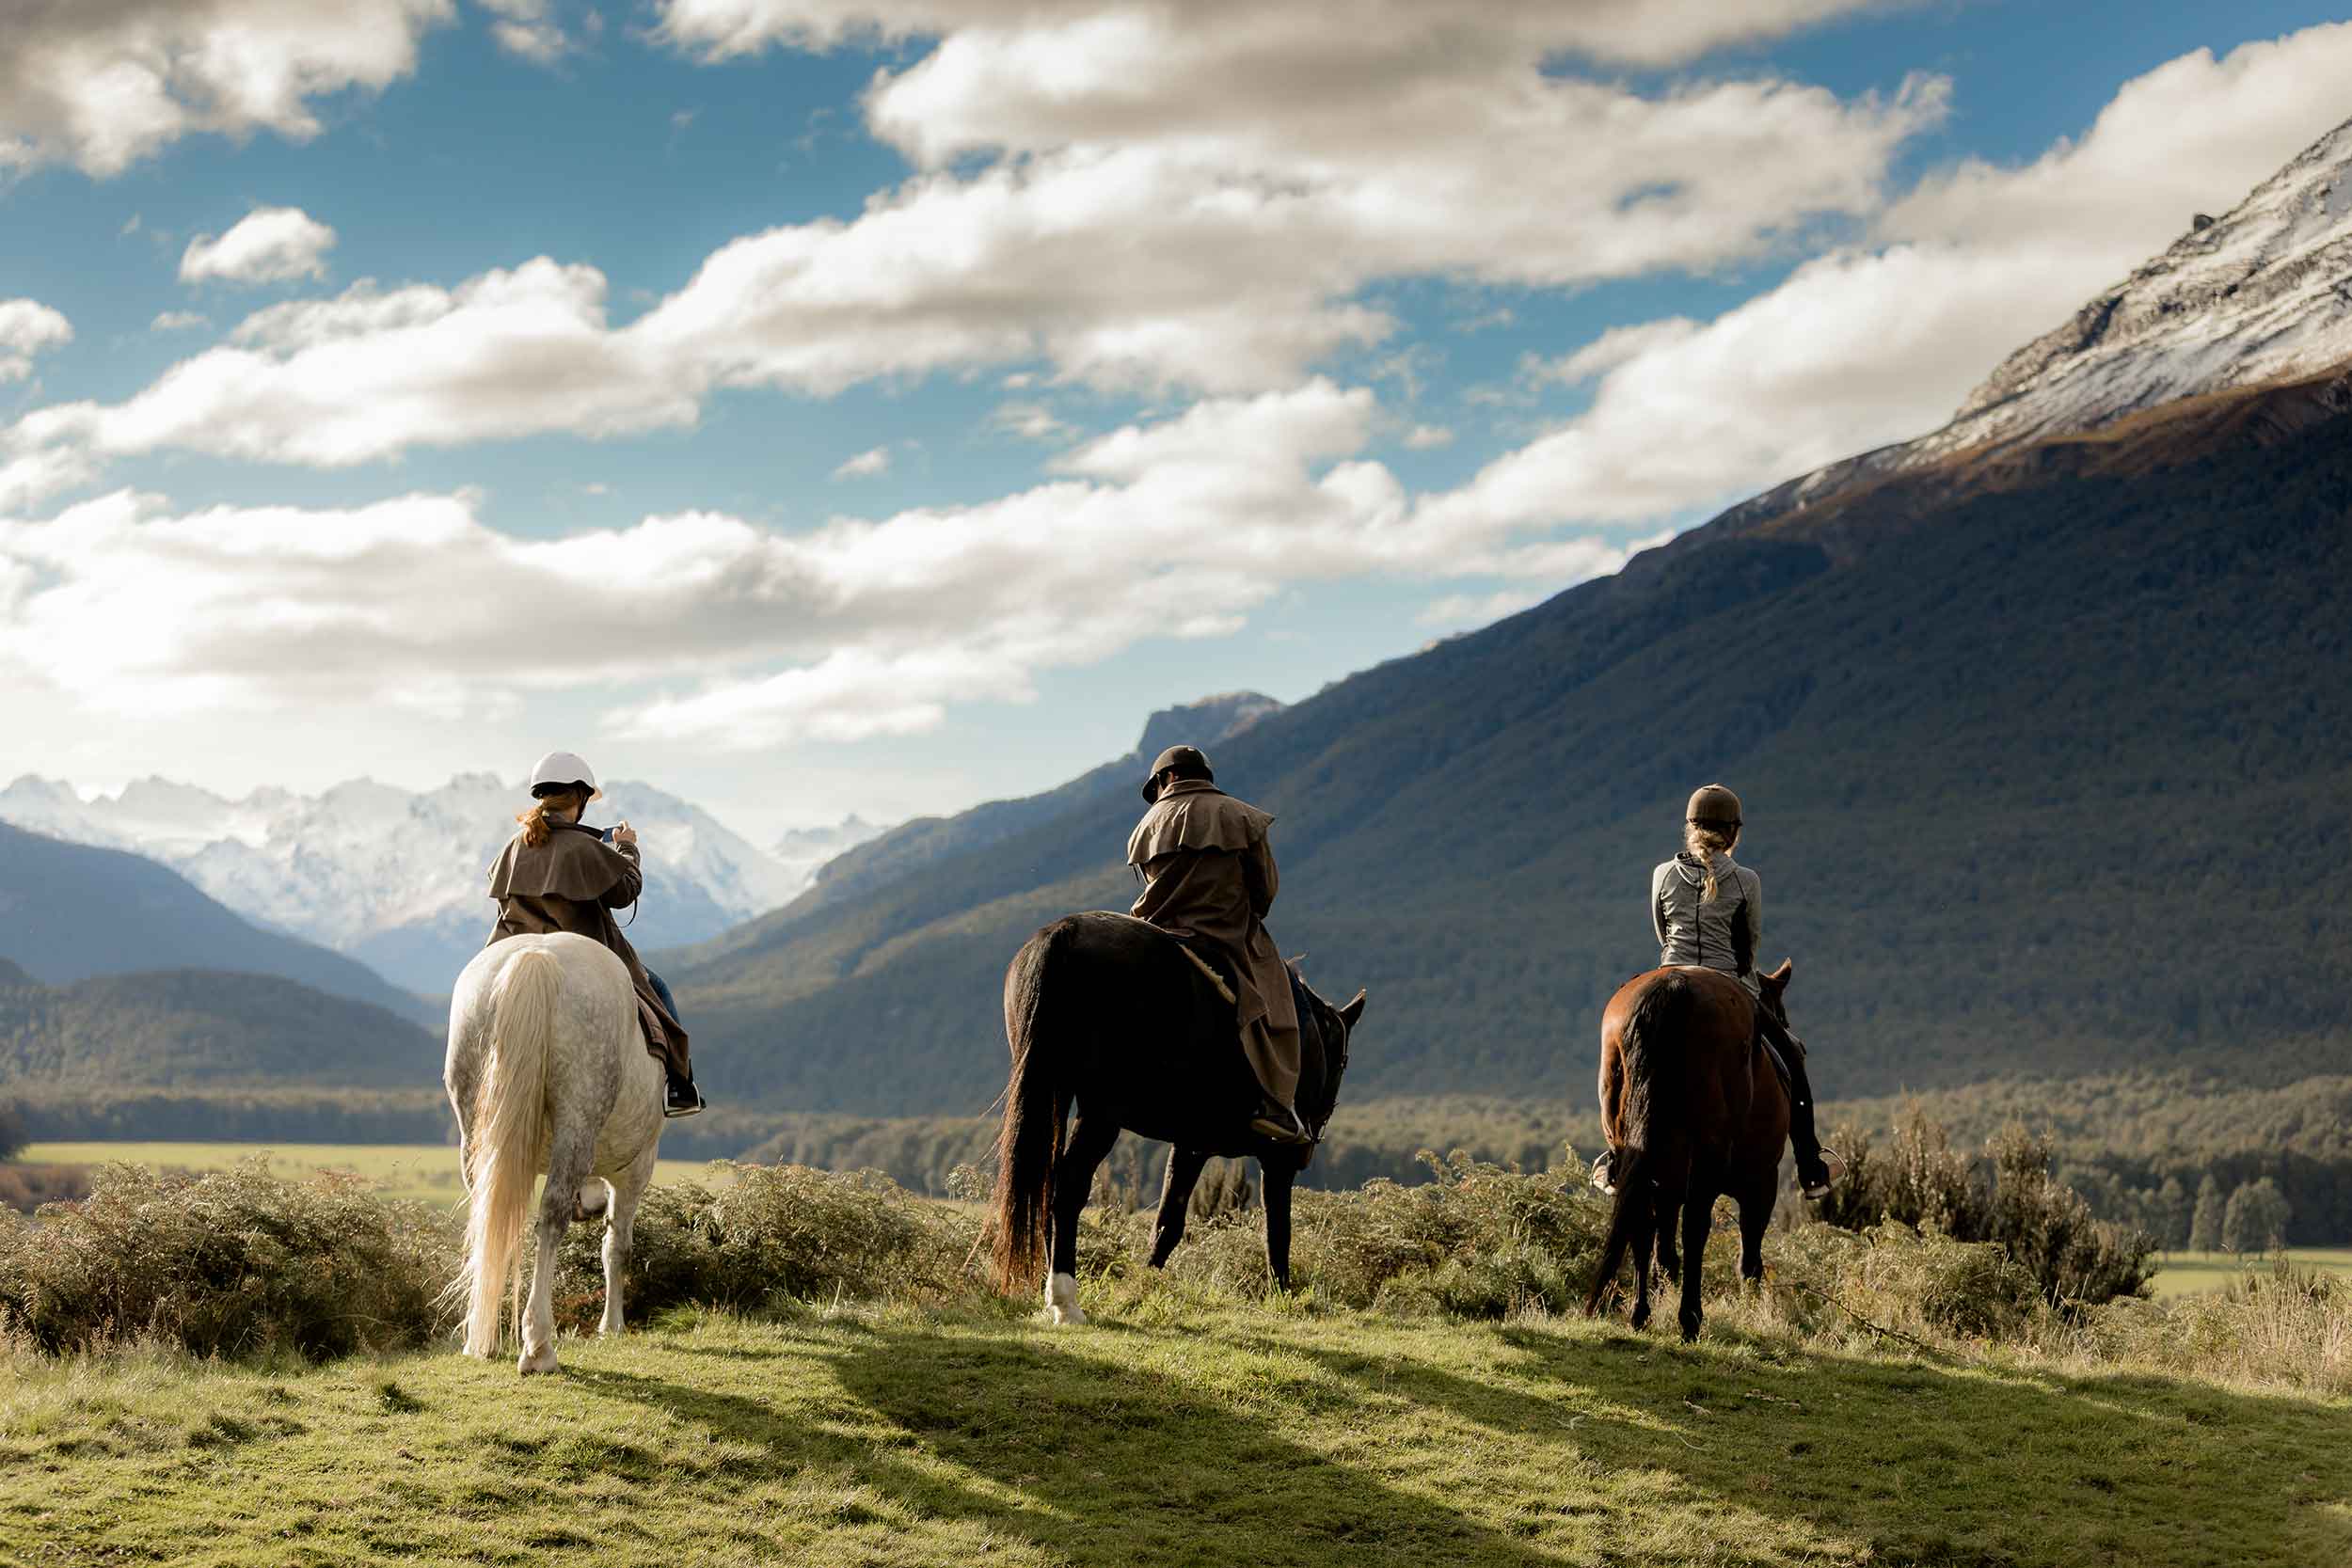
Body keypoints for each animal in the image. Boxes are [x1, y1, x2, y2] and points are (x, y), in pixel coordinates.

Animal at [442, 930, 668, 1372]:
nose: (590, 1206)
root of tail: (536, 955)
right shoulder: (637, 1168)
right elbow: (617, 1247)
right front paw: (612, 1326)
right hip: (577, 1123)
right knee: (551, 1219)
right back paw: (538, 1347)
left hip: (476, 1132)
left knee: (490, 1216)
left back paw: (483, 1337)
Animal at [988, 907, 1364, 1325]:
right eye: (1343, 1062)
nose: (1309, 1148)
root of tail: (1065, 932)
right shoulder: (1276, 1157)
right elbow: (1277, 1227)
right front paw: (1282, 1292)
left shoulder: (1191, 1145)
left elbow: (1169, 1220)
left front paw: (1143, 1286)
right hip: (1101, 1113)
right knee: (1069, 1186)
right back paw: (1065, 1299)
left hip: (1055, 1093)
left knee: (1048, 1182)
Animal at [1590, 963, 1788, 1344]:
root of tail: (1673, 988)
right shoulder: (1762, 1182)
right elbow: (1749, 1258)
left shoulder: (1666, 1184)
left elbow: (1663, 1249)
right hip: (1711, 1158)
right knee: (1696, 1229)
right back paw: (1690, 1318)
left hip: (1635, 1151)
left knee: (1641, 1224)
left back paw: (1640, 1315)